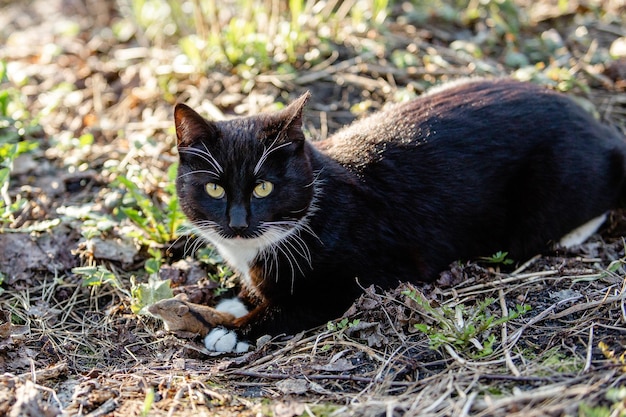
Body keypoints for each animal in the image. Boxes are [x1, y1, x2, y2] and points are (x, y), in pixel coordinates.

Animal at [172, 78, 624, 352]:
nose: (238, 223)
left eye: (263, 187)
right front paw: (235, 301)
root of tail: (601, 129)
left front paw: (233, 331)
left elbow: (294, 306)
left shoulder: (358, 275)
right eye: (215, 188)